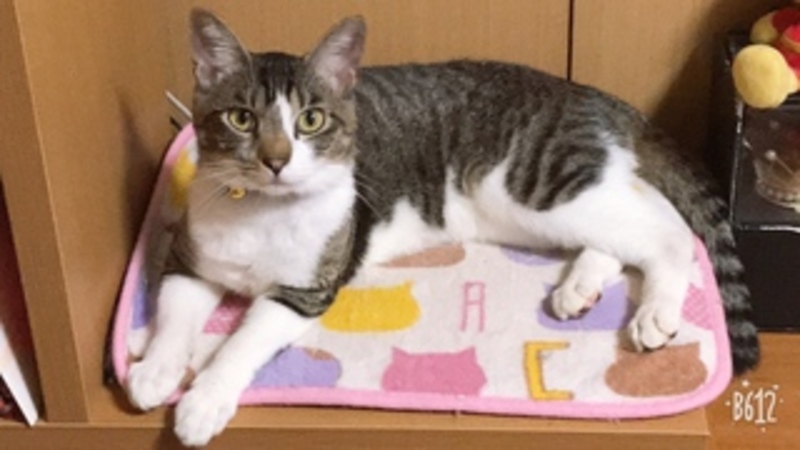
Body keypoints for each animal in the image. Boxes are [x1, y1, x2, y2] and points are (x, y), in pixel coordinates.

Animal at [126, 9, 760, 447]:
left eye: (311, 121)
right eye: (241, 118)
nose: (276, 160)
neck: (261, 209)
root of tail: (588, 94)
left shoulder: (307, 289)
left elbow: (243, 340)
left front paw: (202, 401)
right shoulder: (190, 260)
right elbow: (174, 312)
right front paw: (154, 368)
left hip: (534, 184)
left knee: (670, 229)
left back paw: (655, 313)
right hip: (530, 210)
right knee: (626, 221)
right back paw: (579, 287)